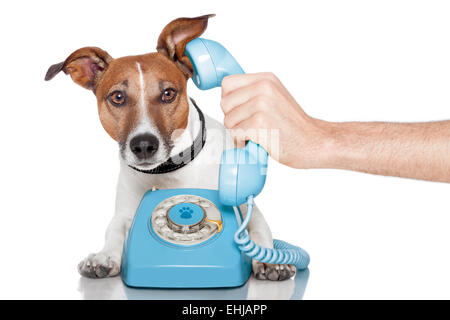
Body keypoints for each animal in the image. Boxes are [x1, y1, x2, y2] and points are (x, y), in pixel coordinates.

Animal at [45, 14, 296, 280]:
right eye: (117, 97)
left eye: (168, 93)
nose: (144, 145)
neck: (168, 172)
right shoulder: (124, 213)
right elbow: (114, 229)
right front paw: (103, 257)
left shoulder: (246, 205)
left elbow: (259, 229)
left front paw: (270, 261)